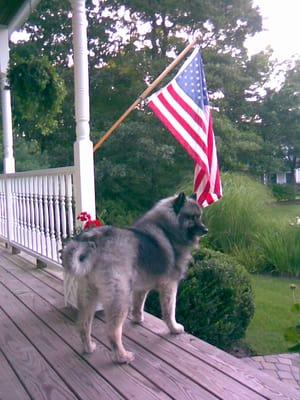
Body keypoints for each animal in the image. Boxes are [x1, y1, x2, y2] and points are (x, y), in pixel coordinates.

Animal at [62, 192, 207, 364]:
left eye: (200, 216)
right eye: (192, 217)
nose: (206, 229)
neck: (168, 229)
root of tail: (94, 241)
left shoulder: (141, 288)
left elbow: (139, 305)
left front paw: (138, 319)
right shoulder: (170, 286)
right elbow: (169, 311)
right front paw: (174, 328)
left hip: (89, 295)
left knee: (84, 325)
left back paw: (89, 348)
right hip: (120, 297)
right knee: (112, 331)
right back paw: (122, 356)